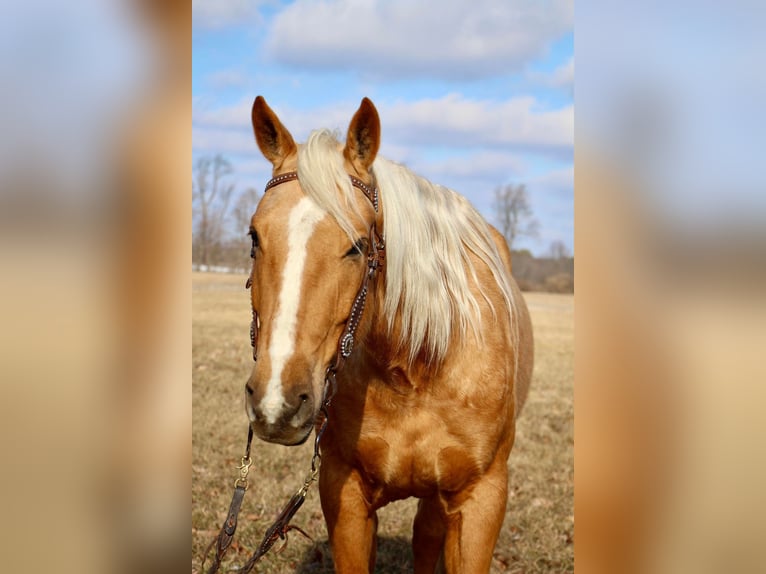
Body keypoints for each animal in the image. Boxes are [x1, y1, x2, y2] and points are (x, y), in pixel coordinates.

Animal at [246, 97, 536, 572]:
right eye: (254, 236)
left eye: (358, 246)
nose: (276, 402)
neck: (415, 368)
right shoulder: (344, 494)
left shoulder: (482, 501)